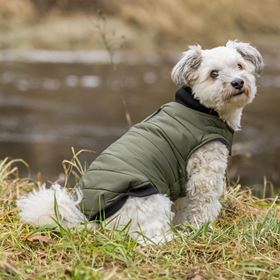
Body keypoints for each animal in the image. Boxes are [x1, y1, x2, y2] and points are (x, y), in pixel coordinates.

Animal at [17, 40, 262, 244]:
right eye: (213, 74)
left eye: (240, 65)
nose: (238, 82)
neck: (201, 109)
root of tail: (90, 220)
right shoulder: (205, 175)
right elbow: (204, 207)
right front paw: (203, 230)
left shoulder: (184, 181)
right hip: (153, 200)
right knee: (150, 237)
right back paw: (172, 238)